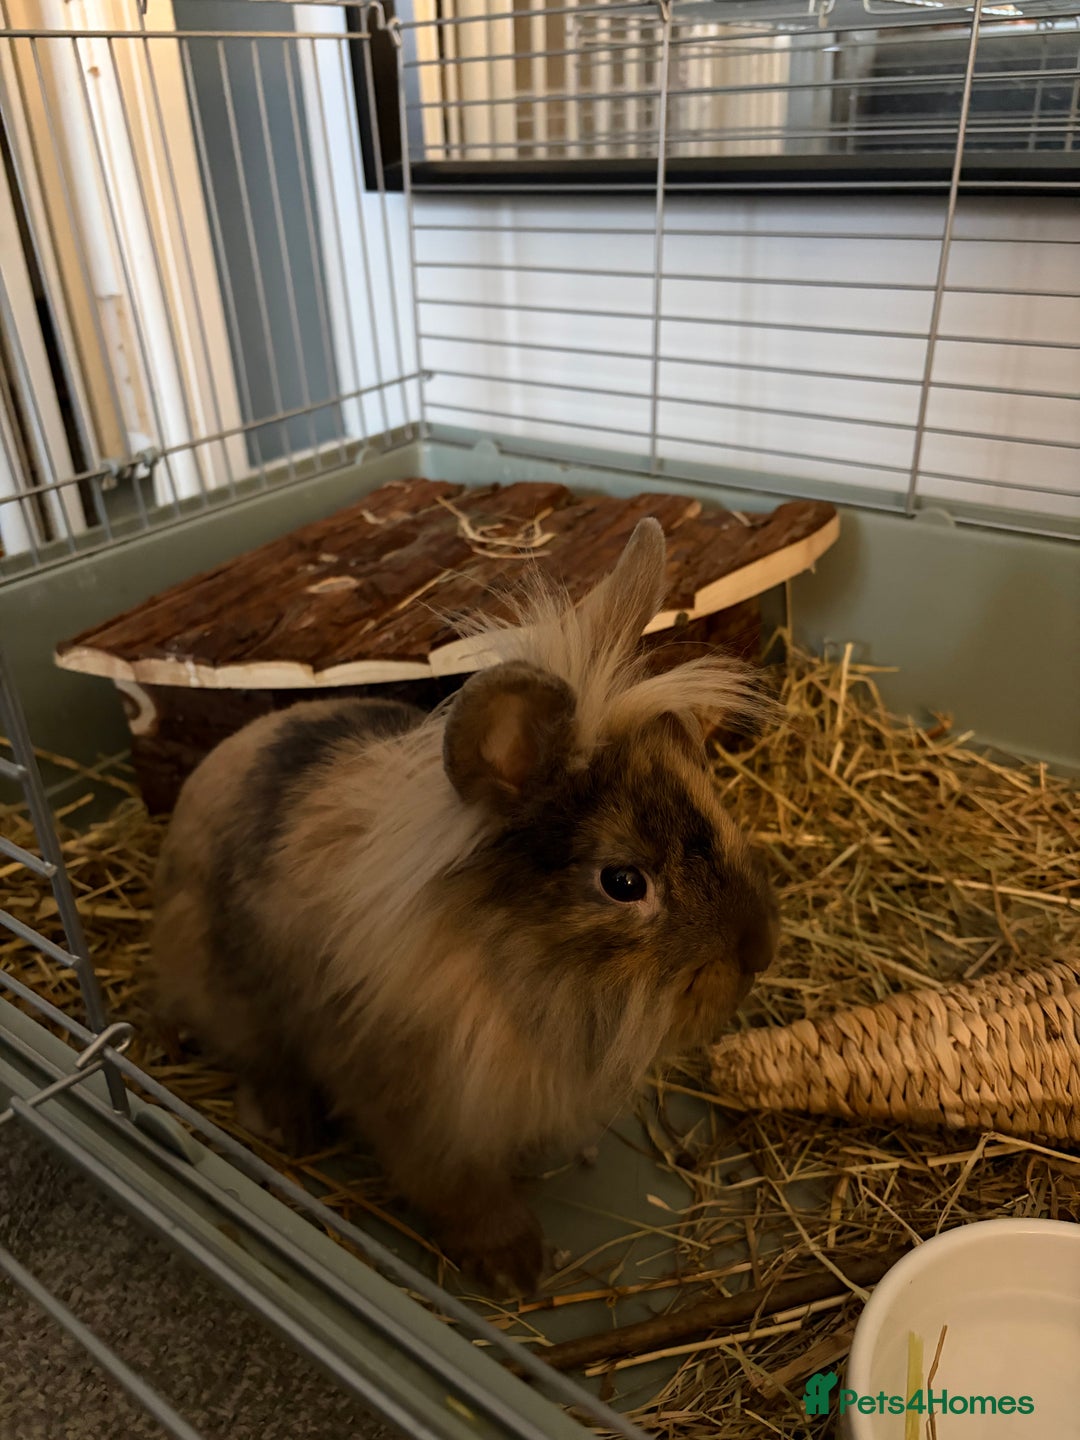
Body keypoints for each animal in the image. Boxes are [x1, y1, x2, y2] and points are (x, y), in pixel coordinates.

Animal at [149, 517, 779, 1296]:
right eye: (623, 883)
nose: (759, 952)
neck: (500, 967)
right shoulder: (425, 1118)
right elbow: (460, 1192)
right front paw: (515, 1267)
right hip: (225, 992)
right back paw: (292, 1124)